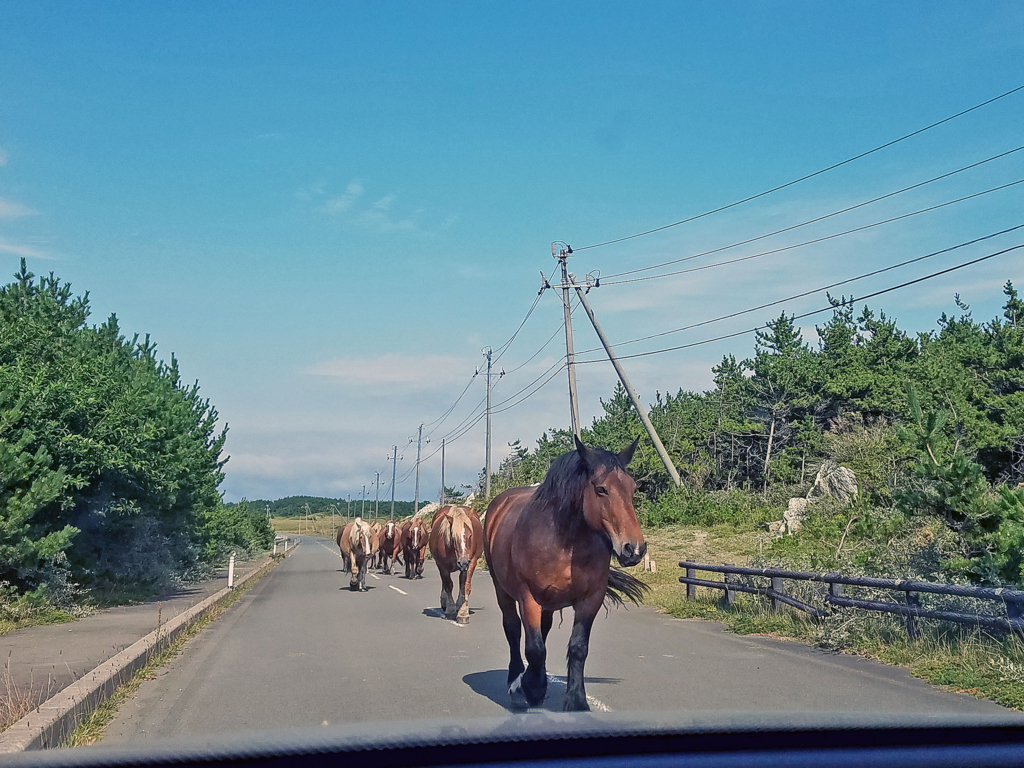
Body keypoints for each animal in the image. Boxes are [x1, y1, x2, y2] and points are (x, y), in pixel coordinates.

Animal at [481, 436, 647, 712]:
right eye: (601, 489)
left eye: (632, 488)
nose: (634, 549)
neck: (564, 543)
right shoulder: (529, 598)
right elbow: (534, 648)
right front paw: (532, 688)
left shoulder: (591, 600)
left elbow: (578, 648)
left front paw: (577, 700)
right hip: (502, 589)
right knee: (513, 629)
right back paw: (516, 682)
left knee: (544, 629)